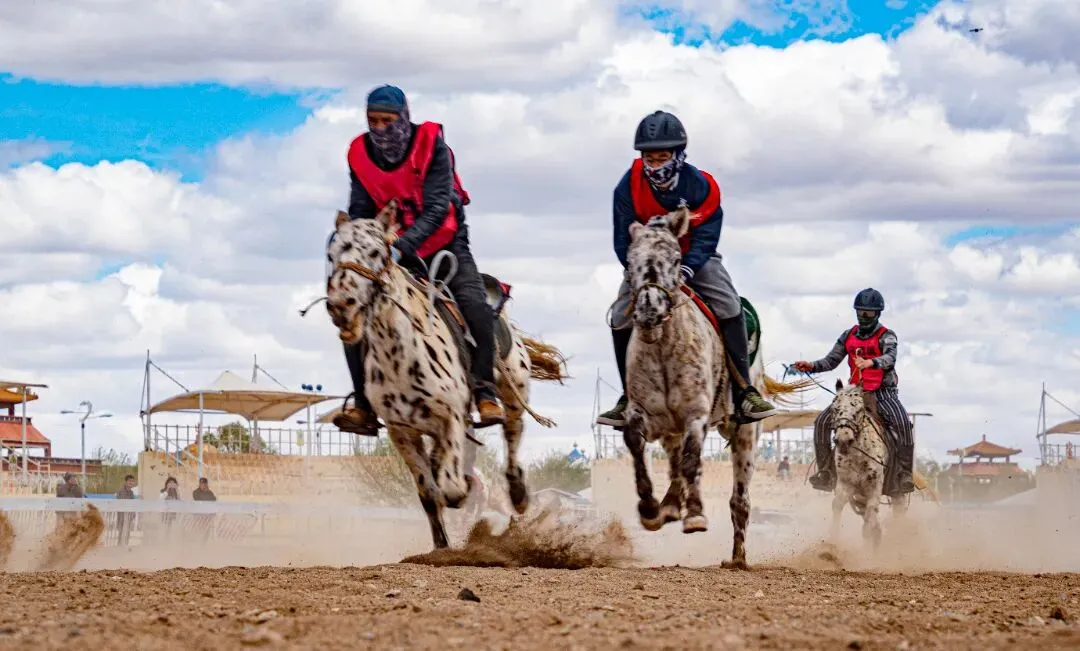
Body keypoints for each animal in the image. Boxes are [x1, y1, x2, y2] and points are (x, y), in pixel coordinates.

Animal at [324, 201, 568, 549]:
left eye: (376, 252)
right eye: (331, 254)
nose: (341, 305)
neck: (400, 354)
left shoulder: (452, 417)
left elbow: (451, 489)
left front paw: (464, 495)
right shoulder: (401, 431)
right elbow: (428, 492)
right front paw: (442, 546)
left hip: (512, 391)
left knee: (512, 434)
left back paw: (518, 493)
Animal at [619, 207, 808, 569]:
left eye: (676, 259)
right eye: (630, 259)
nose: (650, 312)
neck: (664, 348)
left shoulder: (697, 414)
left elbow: (693, 459)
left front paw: (694, 515)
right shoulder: (644, 414)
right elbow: (637, 445)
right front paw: (650, 507)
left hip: (744, 435)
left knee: (740, 500)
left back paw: (737, 558)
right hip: (671, 430)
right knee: (675, 466)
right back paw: (669, 505)